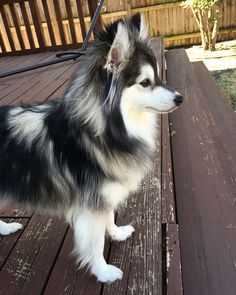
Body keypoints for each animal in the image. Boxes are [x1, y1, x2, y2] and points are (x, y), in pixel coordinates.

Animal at [0, 14, 183, 284]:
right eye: (145, 82)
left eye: (158, 78)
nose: (181, 98)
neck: (103, 130)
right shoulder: (91, 206)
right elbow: (95, 244)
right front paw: (103, 271)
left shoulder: (103, 198)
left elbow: (109, 219)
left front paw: (117, 234)